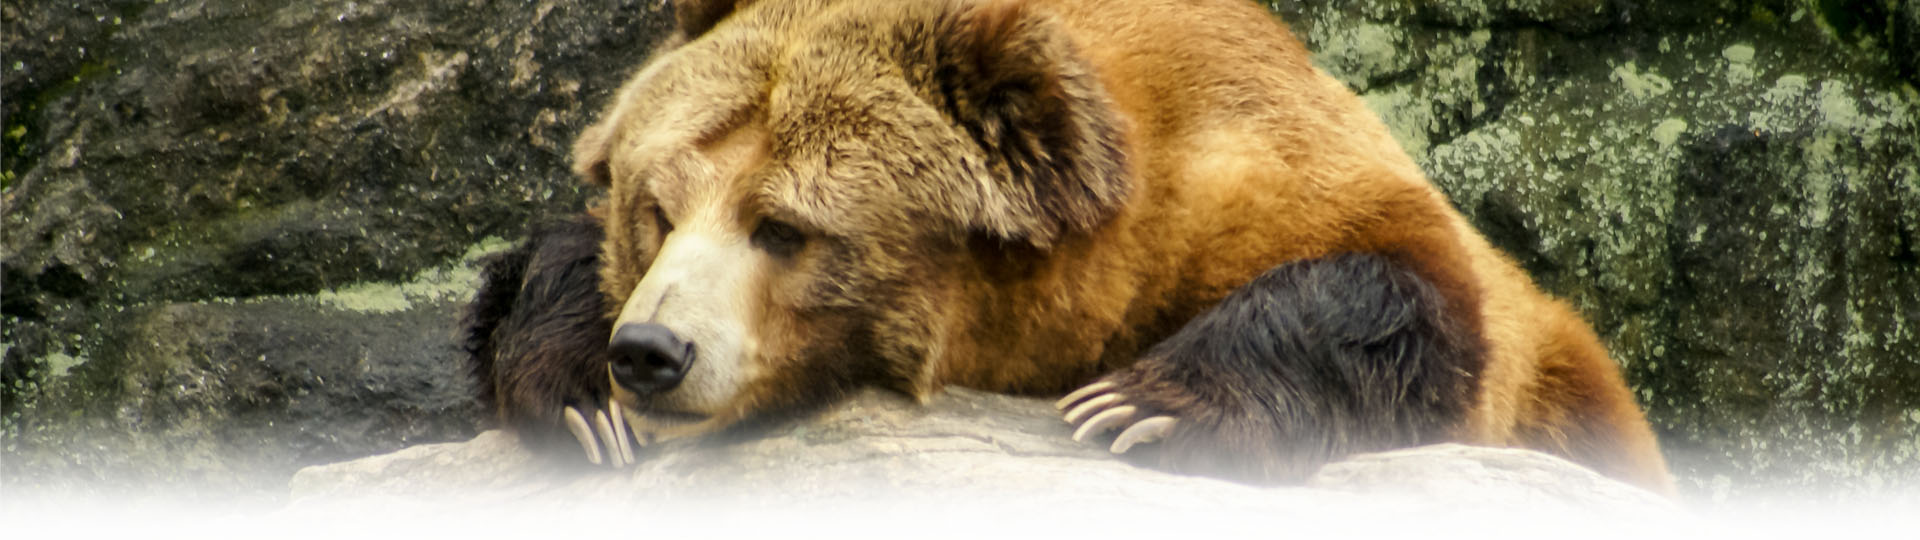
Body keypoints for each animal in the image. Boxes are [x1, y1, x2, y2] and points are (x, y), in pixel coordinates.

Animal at [463, 0, 1676, 494]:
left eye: (784, 227)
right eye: (657, 208)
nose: (652, 353)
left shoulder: (1279, 178)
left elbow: (1410, 296)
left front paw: (1143, 407)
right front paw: (582, 397)